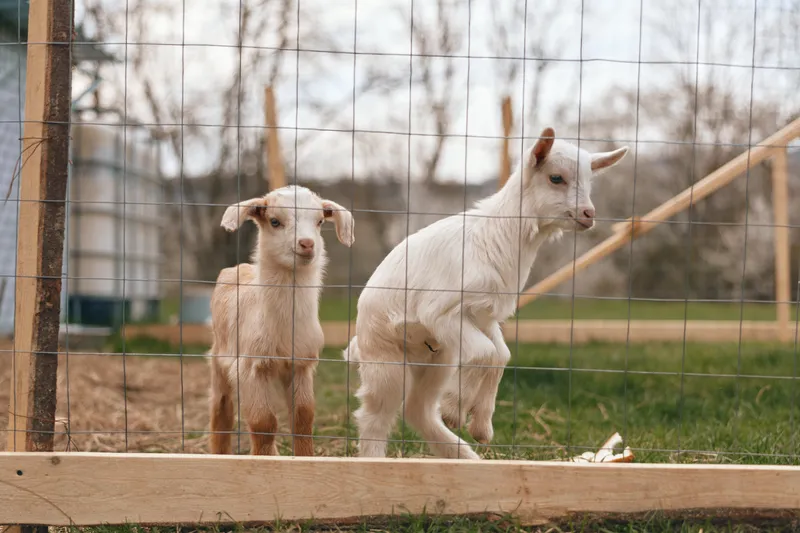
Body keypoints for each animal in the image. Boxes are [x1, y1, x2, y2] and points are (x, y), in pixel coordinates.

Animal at [208, 185, 354, 456]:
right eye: (275, 221)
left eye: (320, 221)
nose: (307, 244)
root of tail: (239, 267)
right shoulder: (250, 366)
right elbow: (263, 422)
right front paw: (265, 459)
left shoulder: (302, 364)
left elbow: (303, 417)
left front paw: (304, 457)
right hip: (218, 358)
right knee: (221, 408)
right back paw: (219, 453)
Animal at [342, 127, 628, 459]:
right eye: (556, 178)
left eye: (590, 180)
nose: (588, 214)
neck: (497, 237)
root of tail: (359, 340)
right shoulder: (441, 311)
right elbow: (485, 352)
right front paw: (456, 409)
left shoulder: (484, 315)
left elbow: (500, 355)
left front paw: (479, 425)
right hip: (386, 360)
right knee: (374, 416)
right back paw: (377, 458)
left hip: (438, 358)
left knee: (418, 410)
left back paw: (464, 455)